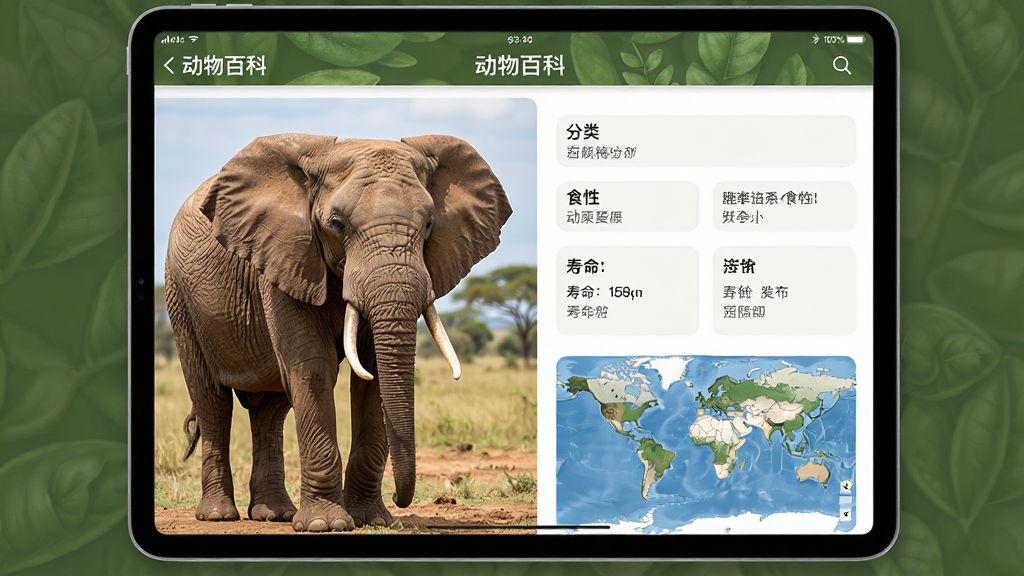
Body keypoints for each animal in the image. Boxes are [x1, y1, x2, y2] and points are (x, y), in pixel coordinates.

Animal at [164, 133, 512, 532]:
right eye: (337, 224)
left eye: (428, 225)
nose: (401, 498)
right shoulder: (286, 258)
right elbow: (313, 369)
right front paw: (325, 524)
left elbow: (373, 379)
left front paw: (371, 519)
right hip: (180, 297)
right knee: (213, 401)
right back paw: (218, 515)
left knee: (270, 410)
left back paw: (274, 514)